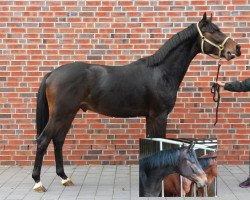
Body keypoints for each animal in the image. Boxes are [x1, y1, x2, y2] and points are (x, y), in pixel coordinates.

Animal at [31, 12, 240, 192]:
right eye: (213, 31)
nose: (236, 48)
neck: (161, 72)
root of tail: (52, 74)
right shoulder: (159, 116)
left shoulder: (151, 117)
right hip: (60, 114)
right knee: (43, 140)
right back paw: (38, 182)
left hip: (68, 114)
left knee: (58, 140)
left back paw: (64, 177)